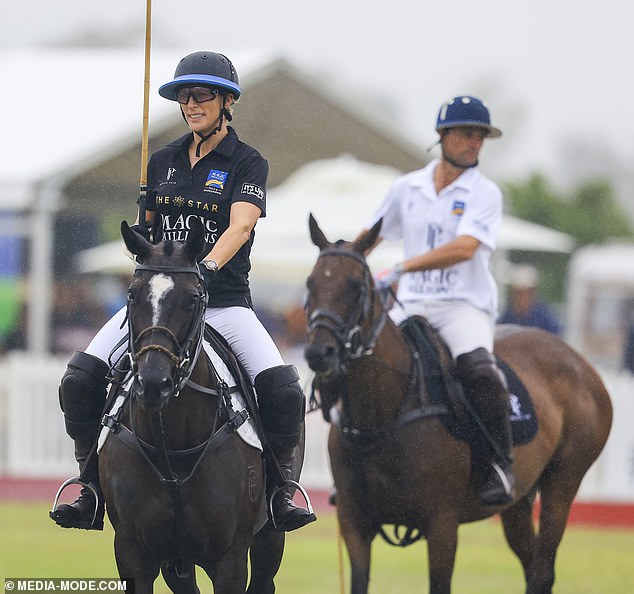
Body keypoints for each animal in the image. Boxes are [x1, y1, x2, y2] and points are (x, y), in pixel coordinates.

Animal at [97, 219, 288, 592]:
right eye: (132, 294)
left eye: (193, 298)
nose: (153, 382)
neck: (170, 446)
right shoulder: (131, 552)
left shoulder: (229, 560)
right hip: (176, 564)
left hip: (270, 538)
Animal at [304, 214, 608, 592]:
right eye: (310, 284)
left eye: (356, 286)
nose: (319, 353)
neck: (382, 414)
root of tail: (581, 362)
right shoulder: (353, 522)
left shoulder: (442, 524)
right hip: (519, 501)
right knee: (532, 564)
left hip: (563, 482)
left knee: (543, 568)